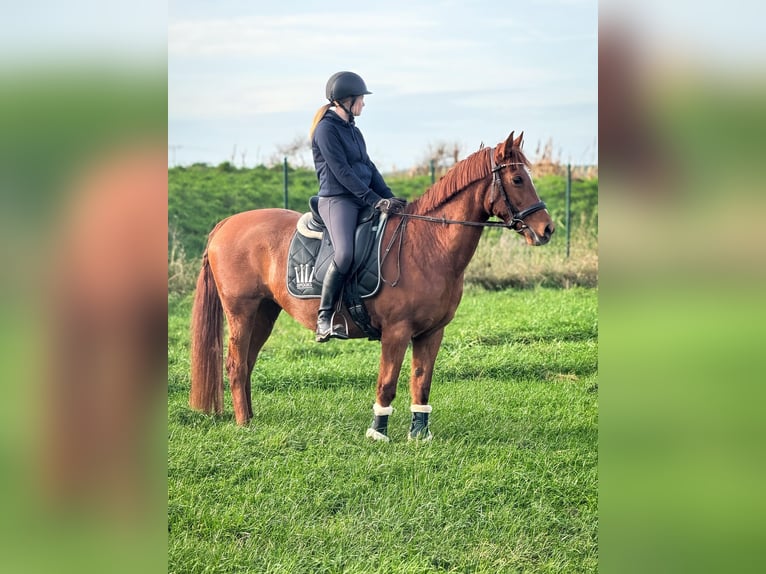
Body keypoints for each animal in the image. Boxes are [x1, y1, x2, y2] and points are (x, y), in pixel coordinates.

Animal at [189, 131, 554, 441]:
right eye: (518, 179)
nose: (547, 229)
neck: (428, 244)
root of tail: (226, 224)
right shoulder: (396, 331)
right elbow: (388, 382)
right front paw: (378, 432)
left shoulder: (431, 332)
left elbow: (421, 381)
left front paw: (419, 434)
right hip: (241, 311)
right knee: (236, 363)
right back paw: (244, 424)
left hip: (265, 312)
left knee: (247, 362)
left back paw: (249, 417)